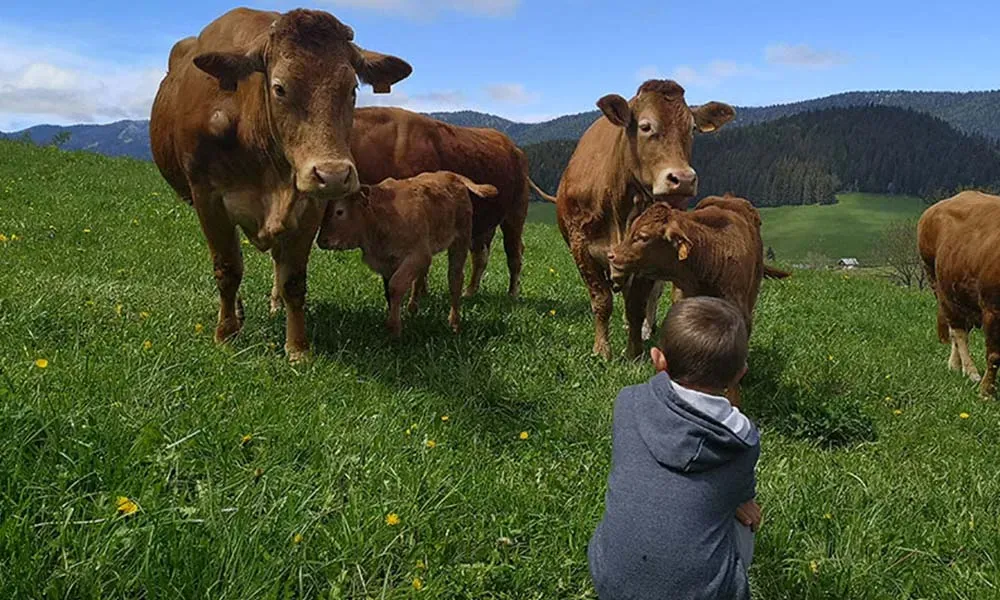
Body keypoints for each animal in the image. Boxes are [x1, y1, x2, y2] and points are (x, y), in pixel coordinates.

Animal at [149, 7, 412, 362]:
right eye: (280, 88)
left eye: (352, 89)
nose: (333, 174)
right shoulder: (208, 198)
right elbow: (227, 269)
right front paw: (225, 334)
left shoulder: (311, 204)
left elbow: (293, 280)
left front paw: (298, 348)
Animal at [316, 171, 497, 337]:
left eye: (339, 211)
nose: (321, 241)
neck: (379, 218)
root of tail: (451, 175)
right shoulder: (388, 262)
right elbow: (389, 291)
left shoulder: (417, 255)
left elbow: (395, 287)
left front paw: (394, 328)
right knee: (421, 278)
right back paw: (413, 307)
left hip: (460, 241)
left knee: (455, 279)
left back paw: (454, 323)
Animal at [349, 107, 533, 297]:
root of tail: (516, 149)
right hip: (483, 221)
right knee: (481, 255)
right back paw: (469, 292)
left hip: (516, 212)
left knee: (514, 253)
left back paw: (512, 294)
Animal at [552, 79, 736, 359]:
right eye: (646, 126)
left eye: (692, 128)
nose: (683, 179)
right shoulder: (580, 246)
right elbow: (601, 300)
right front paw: (602, 350)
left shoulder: (651, 251)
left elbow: (637, 304)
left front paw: (634, 352)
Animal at [917, 190, 1000, 397]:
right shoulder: (993, 308)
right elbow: (994, 356)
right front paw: (986, 391)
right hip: (939, 287)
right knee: (958, 332)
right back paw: (970, 371)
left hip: (961, 295)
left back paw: (956, 365)